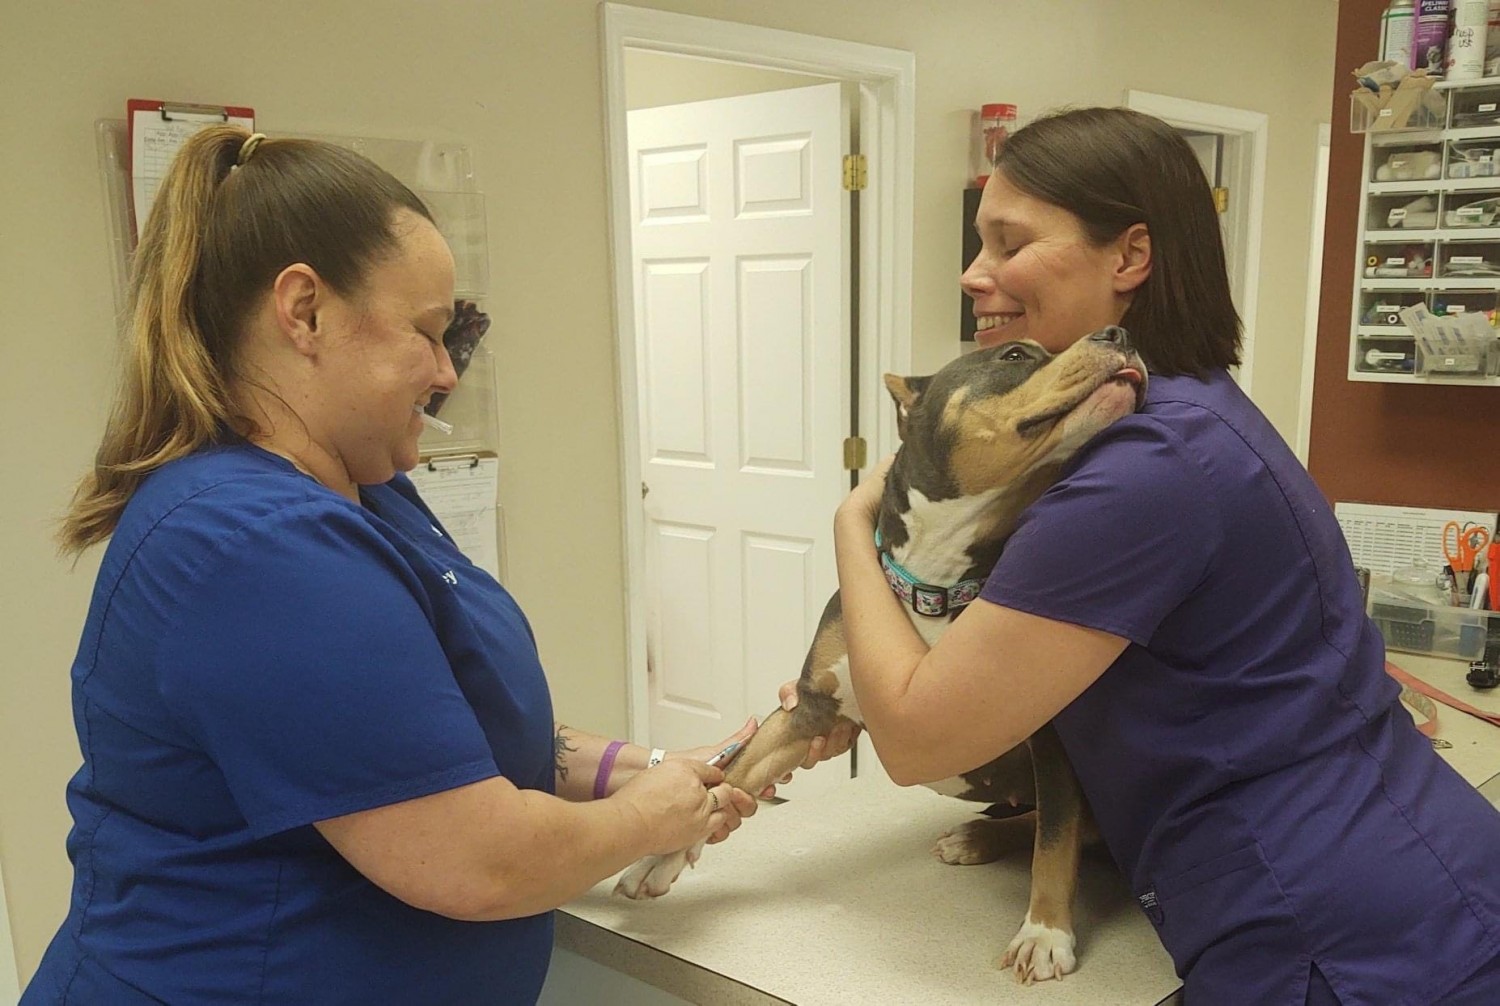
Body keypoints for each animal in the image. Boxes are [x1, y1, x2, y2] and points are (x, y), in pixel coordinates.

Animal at [615, 328, 1140, 983]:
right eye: (1015, 355)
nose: (1119, 333)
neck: (936, 586)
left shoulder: (1053, 736)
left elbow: (1058, 837)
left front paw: (1044, 934)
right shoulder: (810, 707)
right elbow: (735, 771)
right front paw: (660, 852)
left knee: (1069, 826)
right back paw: (977, 837)